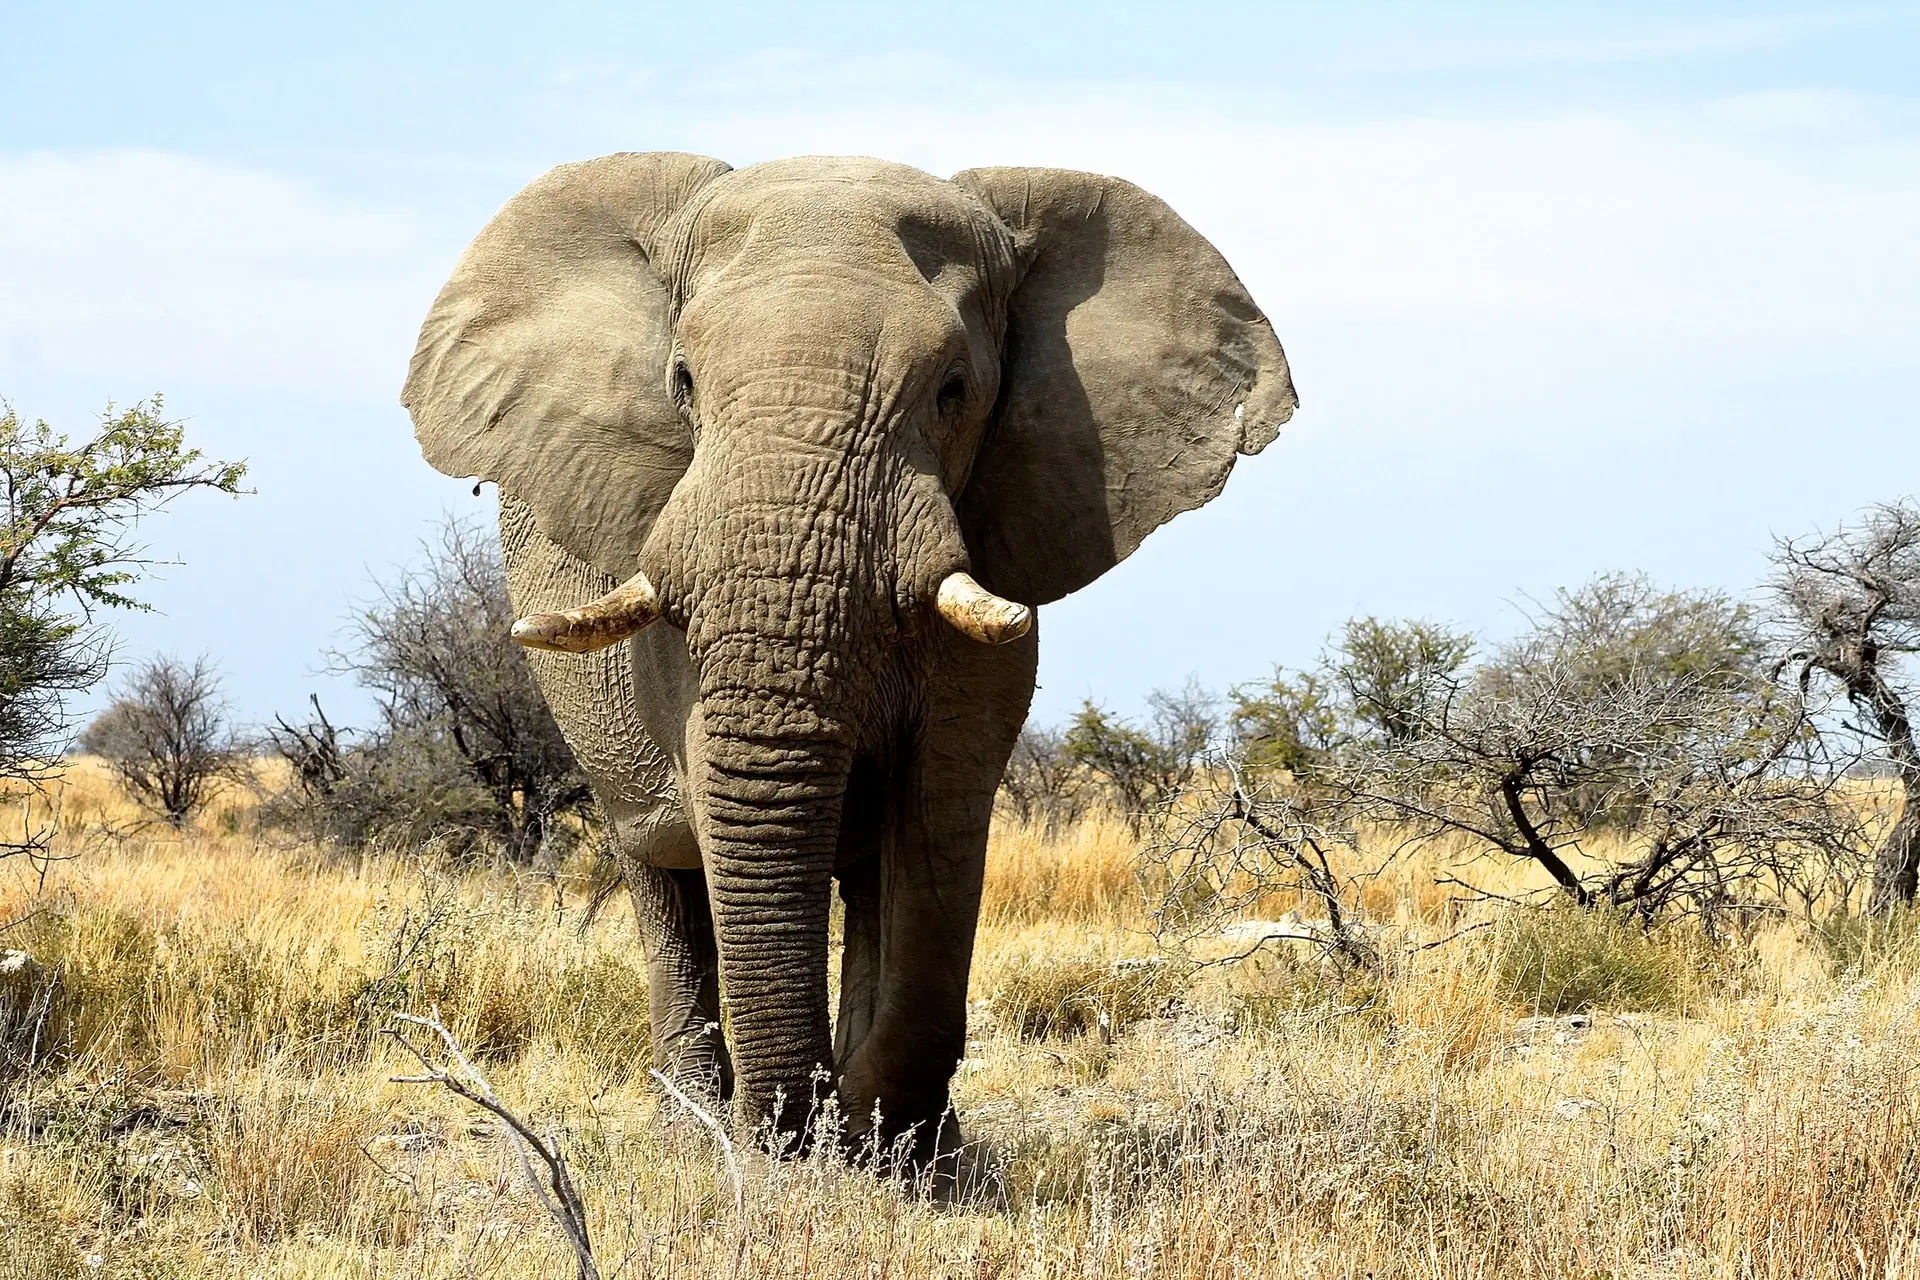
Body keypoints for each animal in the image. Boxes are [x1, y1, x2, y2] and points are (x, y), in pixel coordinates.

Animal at [401, 152, 1296, 1165]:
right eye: (683, 382)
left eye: (953, 390)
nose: (798, 1132)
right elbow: (722, 798)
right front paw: (816, 1142)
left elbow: (939, 814)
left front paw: (896, 1150)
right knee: (660, 868)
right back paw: (695, 1129)